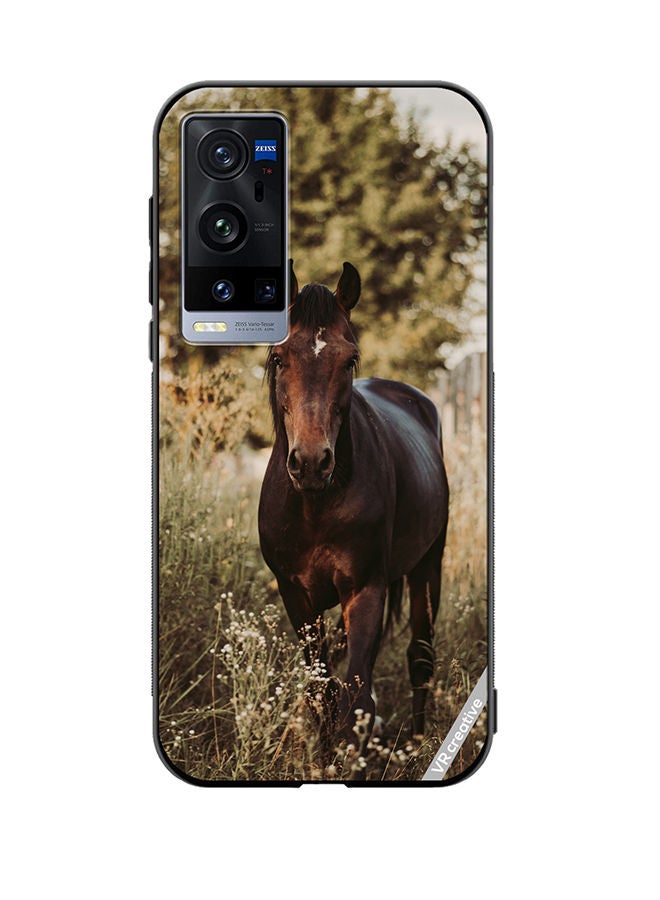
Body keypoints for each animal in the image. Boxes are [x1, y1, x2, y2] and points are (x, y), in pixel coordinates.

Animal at [258, 262, 449, 751]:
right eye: (278, 358)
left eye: (349, 360)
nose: (310, 462)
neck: (315, 505)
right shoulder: (296, 597)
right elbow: (321, 693)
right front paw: (324, 756)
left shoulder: (365, 591)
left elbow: (356, 701)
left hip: (428, 567)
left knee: (420, 658)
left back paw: (417, 743)